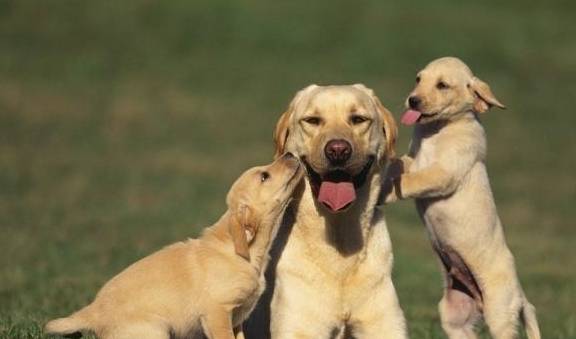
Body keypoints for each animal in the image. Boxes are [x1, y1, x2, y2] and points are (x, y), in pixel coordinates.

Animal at [44, 154, 304, 339]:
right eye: (264, 176)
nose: (291, 153)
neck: (243, 251)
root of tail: (93, 311)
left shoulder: (236, 318)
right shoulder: (217, 312)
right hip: (155, 331)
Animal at [384, 57, 544, 338]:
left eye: (442, 85)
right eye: (418, 79)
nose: (412, 100)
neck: (437, 130)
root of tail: (520, 293)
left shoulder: (442, 173)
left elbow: (410, 181)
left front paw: (385, 189)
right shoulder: (413, 161)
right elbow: (399, 166)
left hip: (499, 312)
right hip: (454, 316)